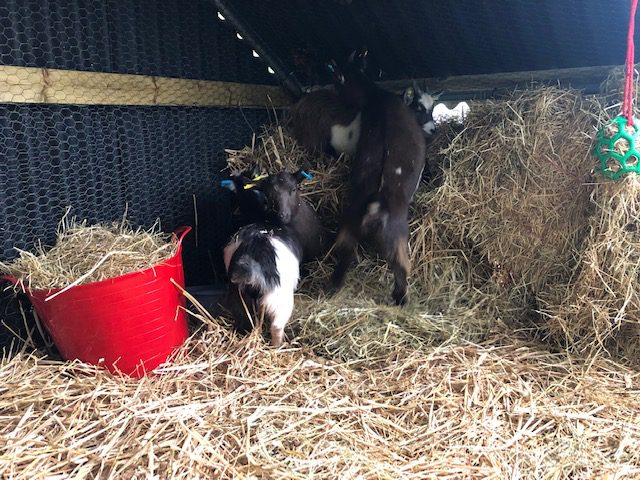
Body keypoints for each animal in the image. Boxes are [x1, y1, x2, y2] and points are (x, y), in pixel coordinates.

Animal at [328, 50, 426, 305]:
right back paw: (401, 299)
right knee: (401, 269)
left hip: (347, 230)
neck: (376, 97)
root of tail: (373, 205)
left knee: (344, 257)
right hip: (398, 239)